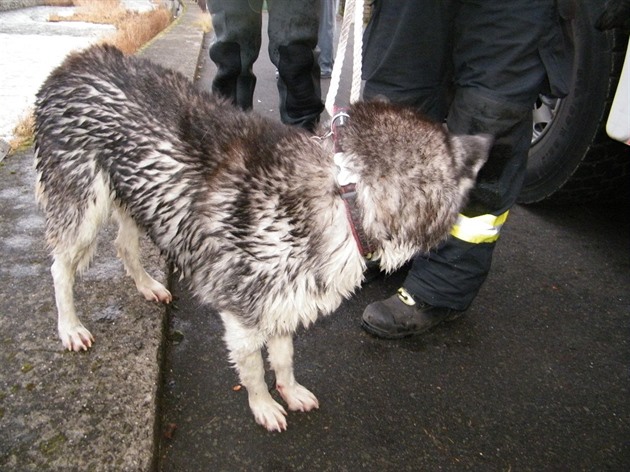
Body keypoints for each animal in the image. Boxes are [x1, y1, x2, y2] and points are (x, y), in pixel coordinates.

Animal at [33, 45, 488, 432]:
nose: (487, 142)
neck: (345, 196)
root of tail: (71, 63)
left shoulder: (283, 300)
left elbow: (284, 358)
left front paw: (290, 391)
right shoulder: (242, 315)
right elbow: (253, 370)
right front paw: (264, 404)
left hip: (135, 195)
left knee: (124, 246)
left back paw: (148, 286)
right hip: (83, 206)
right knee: (60, 268)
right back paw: (70, 326)